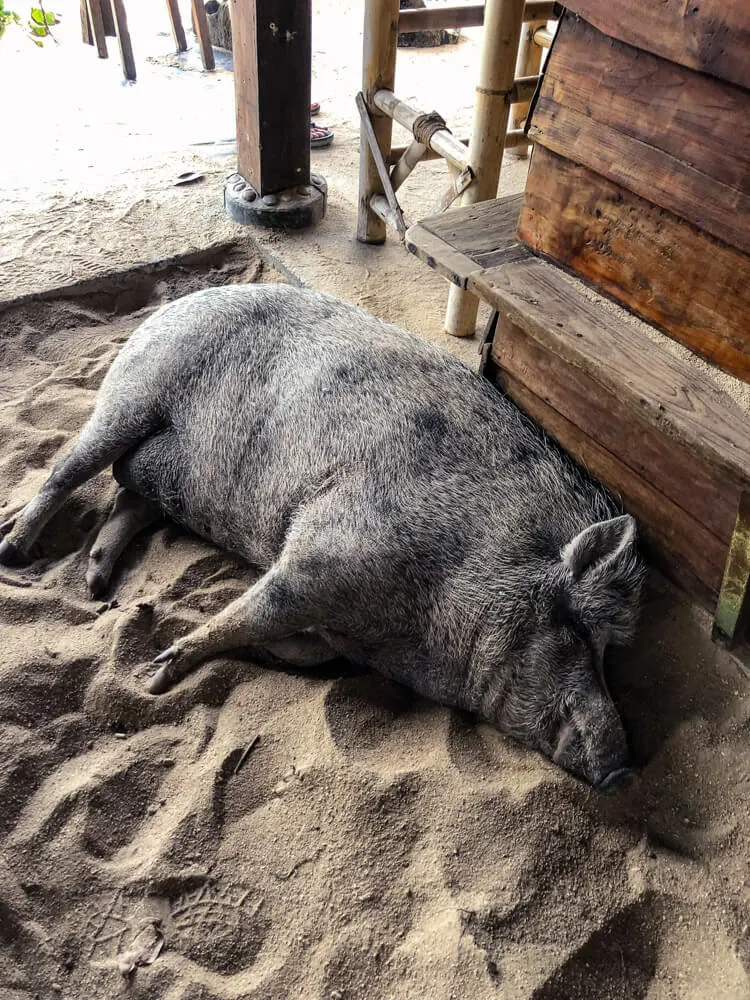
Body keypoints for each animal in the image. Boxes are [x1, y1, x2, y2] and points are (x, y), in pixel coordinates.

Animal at [0, 282, 648, 788]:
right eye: (577, 632)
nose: (625, 769)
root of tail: (169, 307)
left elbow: (305, 648)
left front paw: (264, 656)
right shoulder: (323, 553)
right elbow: (256, 608)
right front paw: (159, 674)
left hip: (168, 475)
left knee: (130, 491)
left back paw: (97, 584)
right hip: (132, 396)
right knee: (69, 467)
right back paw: (16, 551)